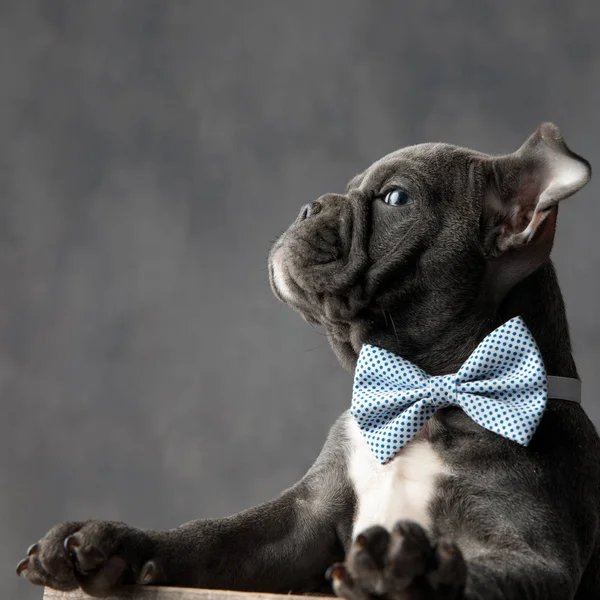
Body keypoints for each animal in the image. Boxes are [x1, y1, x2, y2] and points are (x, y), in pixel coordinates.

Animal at [17, 124, 600, 596]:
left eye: (396, 197)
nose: (310, 206)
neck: (427, 396)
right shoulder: (300, 522)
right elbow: (211, 536)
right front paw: (112, 540)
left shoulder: (534, 552)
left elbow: (486, 574)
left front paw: (414, 577)